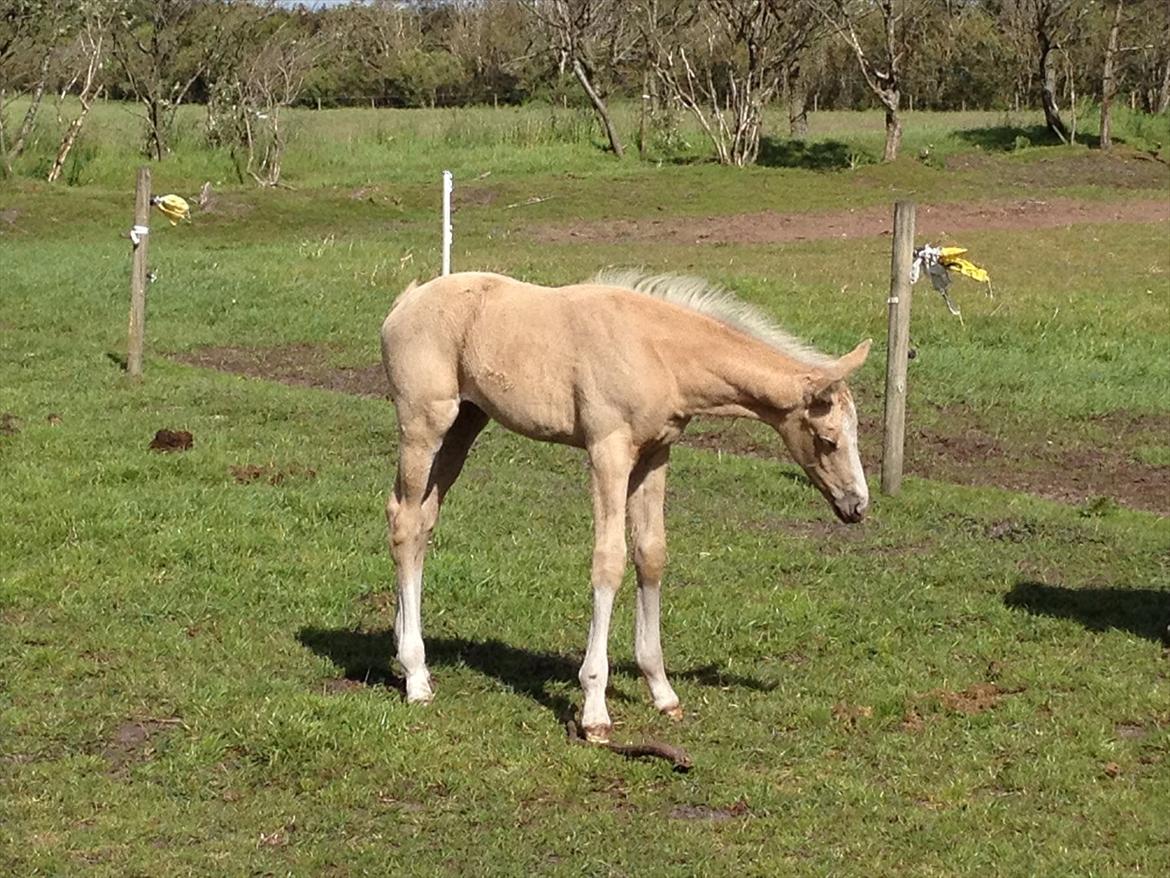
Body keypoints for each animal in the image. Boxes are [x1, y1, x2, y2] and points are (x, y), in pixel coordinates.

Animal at [383, 271, 870, 744]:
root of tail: (403, 304)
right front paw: (595, 710)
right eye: (828, 439)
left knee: (421, 519)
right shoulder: (608, 450)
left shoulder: (656, 454)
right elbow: (609, 560)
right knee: (405, 520)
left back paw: (406, 650)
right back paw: (416, 677)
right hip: (425, 423)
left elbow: (651, 554)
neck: (661, 354)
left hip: (466, 422)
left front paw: (662, 691)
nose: (857, 506)